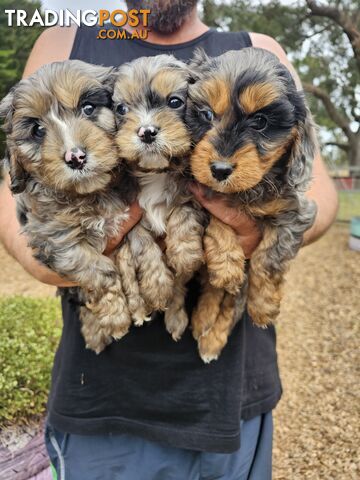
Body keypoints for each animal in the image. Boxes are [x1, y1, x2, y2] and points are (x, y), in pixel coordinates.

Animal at [0, 60, 135, 352]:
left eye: (88, 108)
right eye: (38, 130)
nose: (76, 157)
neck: (88, 194)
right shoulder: (55, 238)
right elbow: (99, 271)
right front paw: (116, 317)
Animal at [112, 55, 208, 342]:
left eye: (175, 102)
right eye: (121, 109)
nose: (146, 132)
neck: (156, 172)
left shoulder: (193, 193)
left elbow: (183, 212)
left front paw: (185, 253)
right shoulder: (128, 216)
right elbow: (144, 245)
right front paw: (156, 287)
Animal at [187, 48, 316, 362]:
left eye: (260, 122)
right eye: (206, 114)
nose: (220, 169)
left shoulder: (295, 213)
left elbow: (267, 259)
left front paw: (263, 306)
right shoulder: (200, 195)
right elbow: (218, 222)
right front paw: (226, 265)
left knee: (231, 303)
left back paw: (211, 339)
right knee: (215, 290)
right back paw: (204, 318)